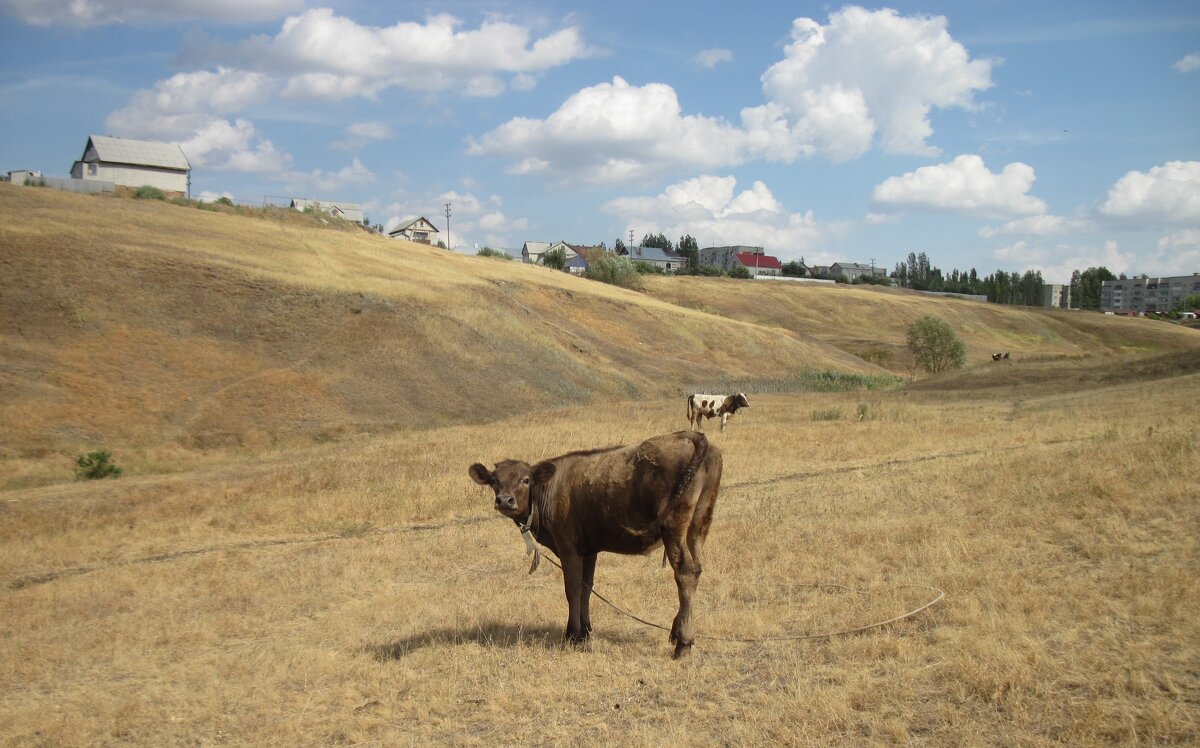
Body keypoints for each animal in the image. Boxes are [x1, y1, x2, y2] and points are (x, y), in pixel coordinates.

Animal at [465, 429, 720, 657]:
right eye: (494, 481)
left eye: (525, 479)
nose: (504, 500)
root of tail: (689, 435)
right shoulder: (588, 550)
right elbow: (587, 588)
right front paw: (586, 631)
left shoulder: (568, 546)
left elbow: (573, 589)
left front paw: (572, 635)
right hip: (698, 526)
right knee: (696, 568)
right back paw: (677, 632)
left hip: (674, 527)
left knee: (685, 573)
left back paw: (683, 643)